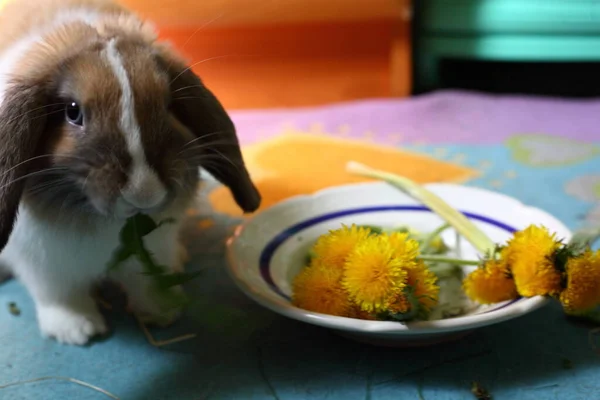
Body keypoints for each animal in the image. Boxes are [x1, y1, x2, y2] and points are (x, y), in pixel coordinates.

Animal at [0, 0, 258, 346]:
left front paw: (163, 312)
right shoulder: (44, 264)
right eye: (72, 111)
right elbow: (60, 295)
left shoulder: (154, 247)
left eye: (167, 104)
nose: (143, 193)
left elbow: (144, 281)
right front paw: (78, 331)